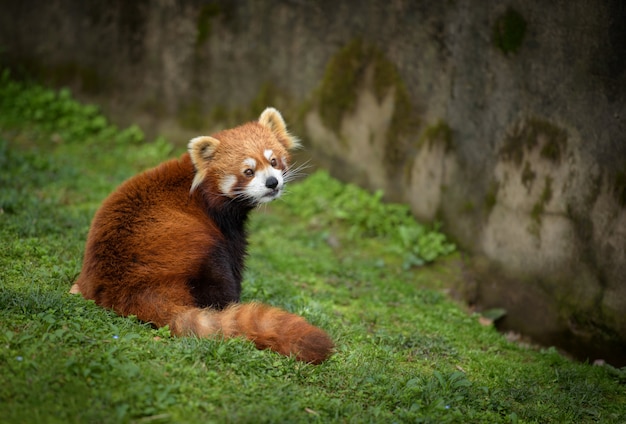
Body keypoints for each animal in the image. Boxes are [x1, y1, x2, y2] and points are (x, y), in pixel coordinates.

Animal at [70, 107, 334, 362]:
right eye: (248, 171)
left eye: (274, 161)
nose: (272, 183)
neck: (203, 189)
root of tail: (125, 290)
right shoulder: (222, 228)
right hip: (191, 247)